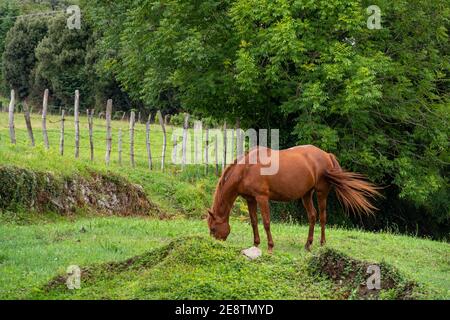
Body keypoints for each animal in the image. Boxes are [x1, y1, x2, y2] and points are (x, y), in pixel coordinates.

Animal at [207, 145, 380, 252]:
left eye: (213, 228)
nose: (215, 244)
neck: (247, 168)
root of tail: (327, 155)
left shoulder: (262, 198)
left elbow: (266, 222)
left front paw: (270, 246)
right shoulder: (250, 199)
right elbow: (254, 222)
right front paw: (256, 244)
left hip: (321, 192)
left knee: (322, 217)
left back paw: (322, 244)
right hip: (306, 195)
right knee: (312, 216)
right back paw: (308, 245)